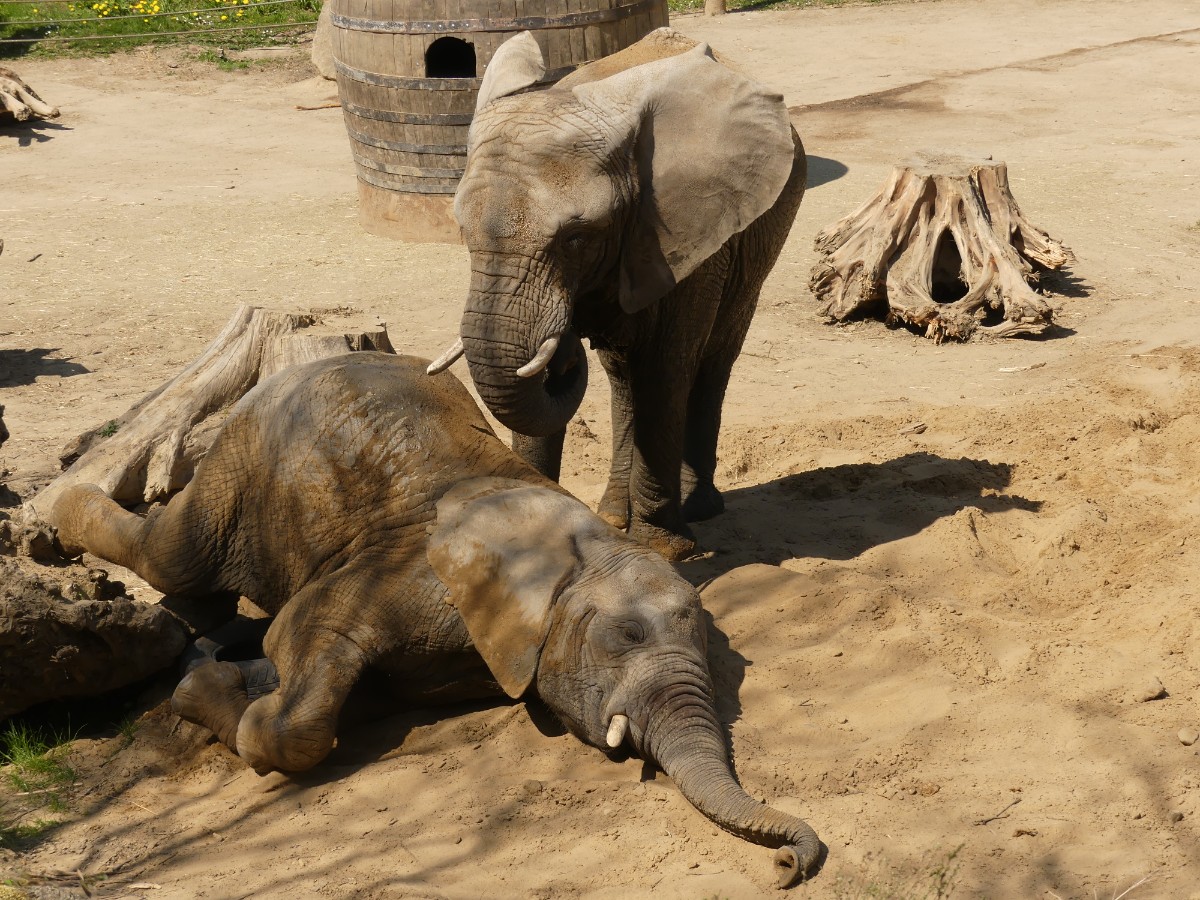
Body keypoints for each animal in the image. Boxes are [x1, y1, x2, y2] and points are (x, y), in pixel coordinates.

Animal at [52, 353, 821, 887]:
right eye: (625, 639)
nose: (789, 864)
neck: (579, 555)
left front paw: (222, 679)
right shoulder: (397, 571)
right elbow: (302, 663)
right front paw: (213, 697)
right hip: (243, 461)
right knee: (172, 558)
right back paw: (64, 507)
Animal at [428, 27, 807, 562]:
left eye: (575, 238)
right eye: (461, 231)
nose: (564, 350)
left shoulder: (689, 239)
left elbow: (667, 367)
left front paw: (665, 549)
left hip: (763, 234)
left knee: (713, 356)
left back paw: (696, 509)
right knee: (623, 373)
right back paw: (612, 515)